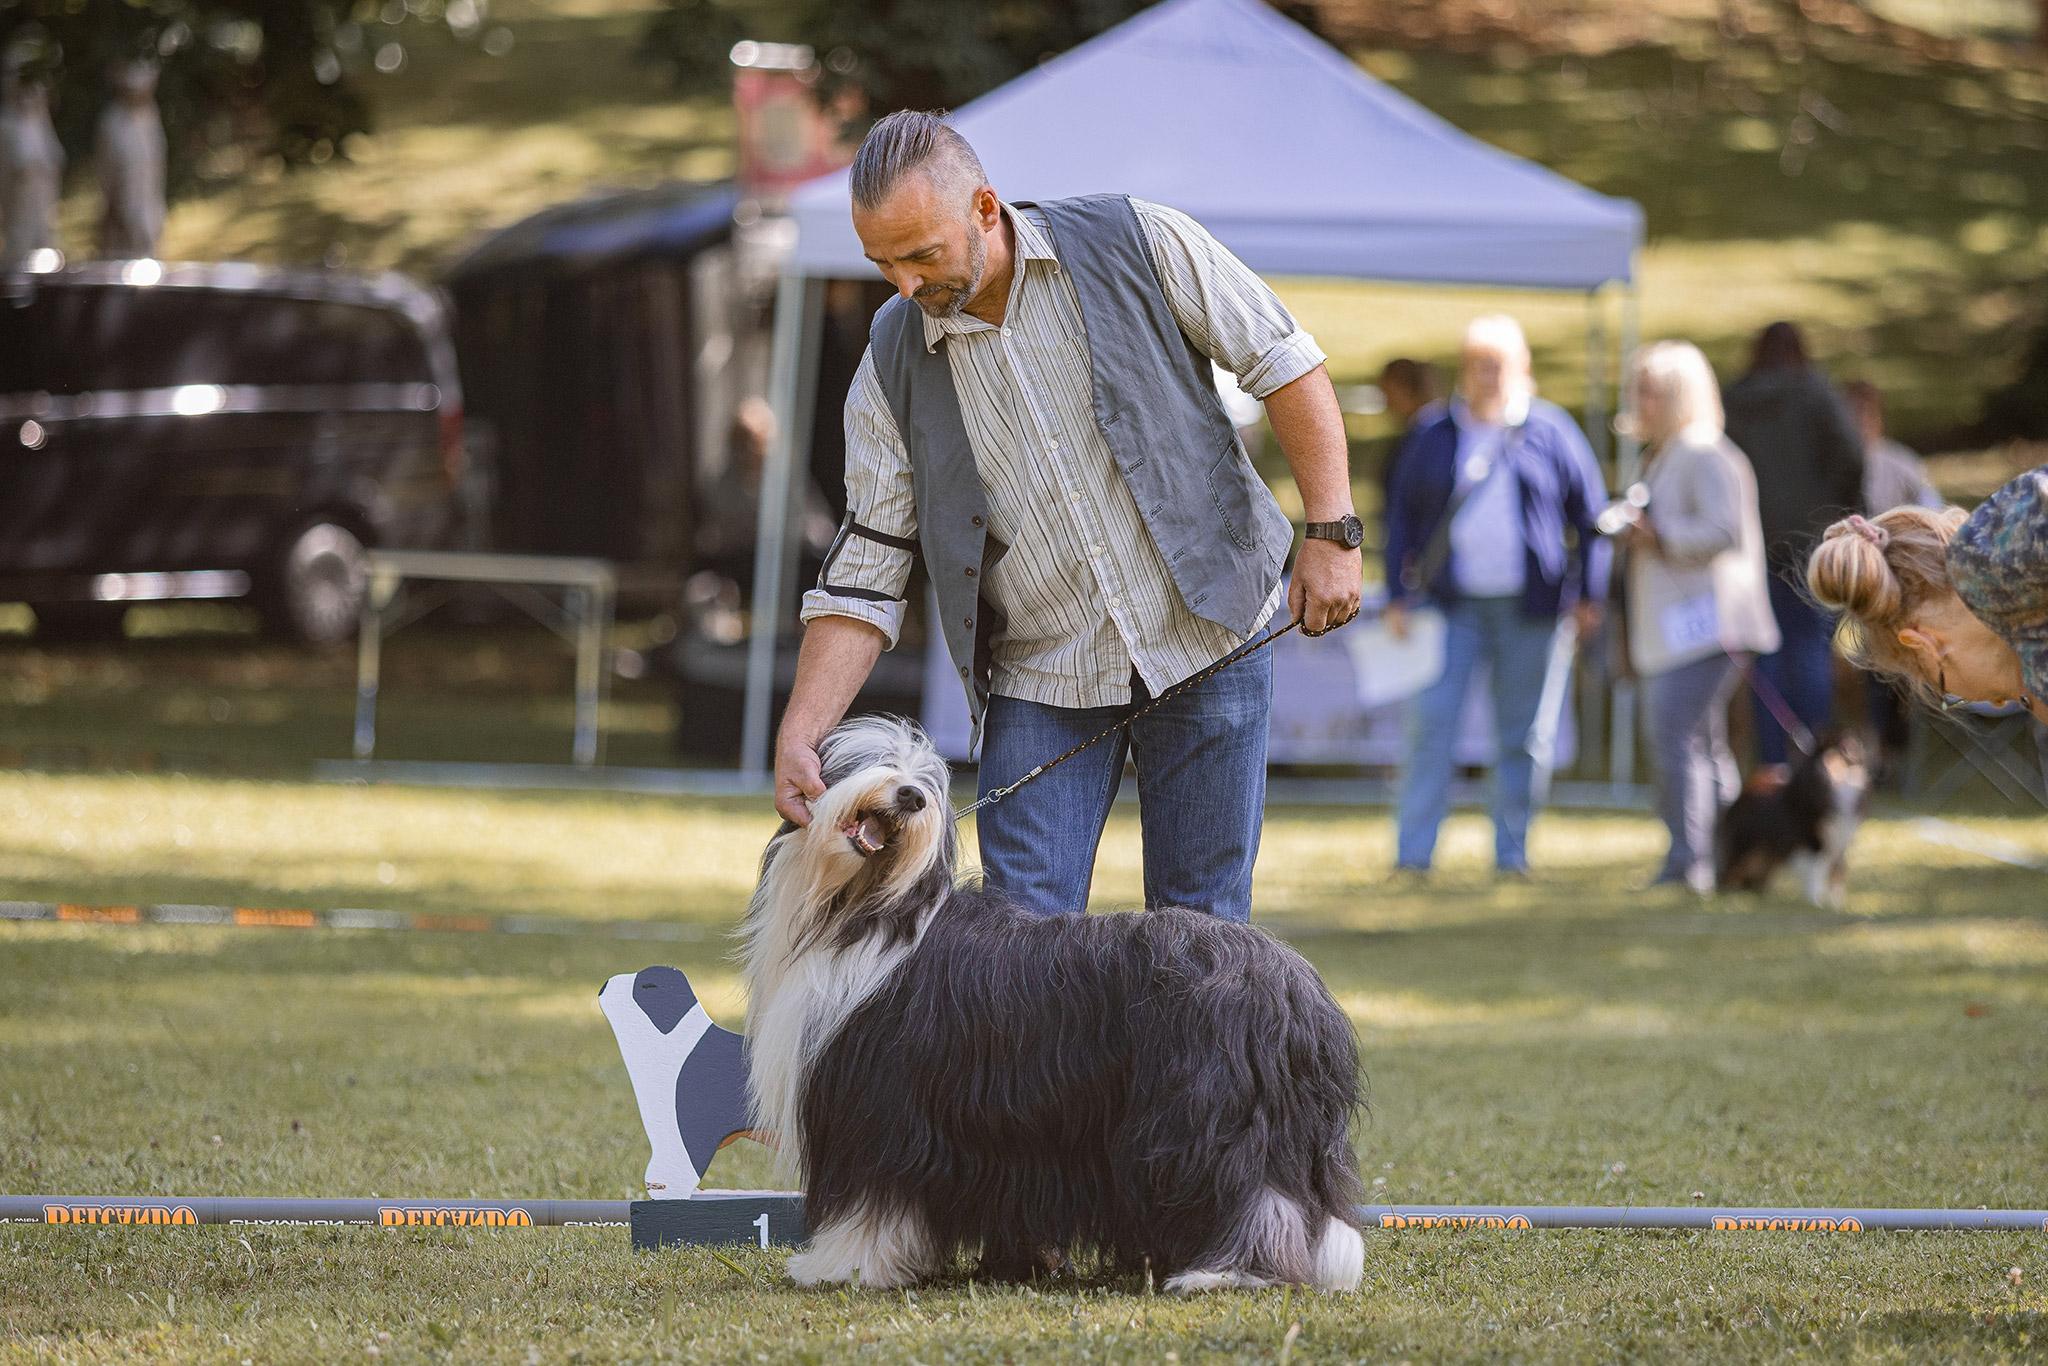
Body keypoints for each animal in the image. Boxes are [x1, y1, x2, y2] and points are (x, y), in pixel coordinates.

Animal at [745, 716, 1368, 1294]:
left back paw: (1226, 1273)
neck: (868, 909)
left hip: (1210, 1115)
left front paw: (841, 1266)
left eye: (925, 783)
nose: (910, 797)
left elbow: (869, 1202)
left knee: (1254, 1194)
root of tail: (1295, 987)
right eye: (873, 761)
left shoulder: (878, 1104)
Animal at [1712, 733, 1875, 913]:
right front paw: (1816, 903)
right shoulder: (1813, 842)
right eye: (1827, 761)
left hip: (1767, 851)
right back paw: (1724, 897)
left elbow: (1837, 873)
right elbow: (1816, 873)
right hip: (1746, 845)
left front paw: (1836, 906)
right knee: (1730, 870)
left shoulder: (1839, 842)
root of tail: (1745, 790)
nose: (1824, 774)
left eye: (1840, 758)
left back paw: (1758, 894)